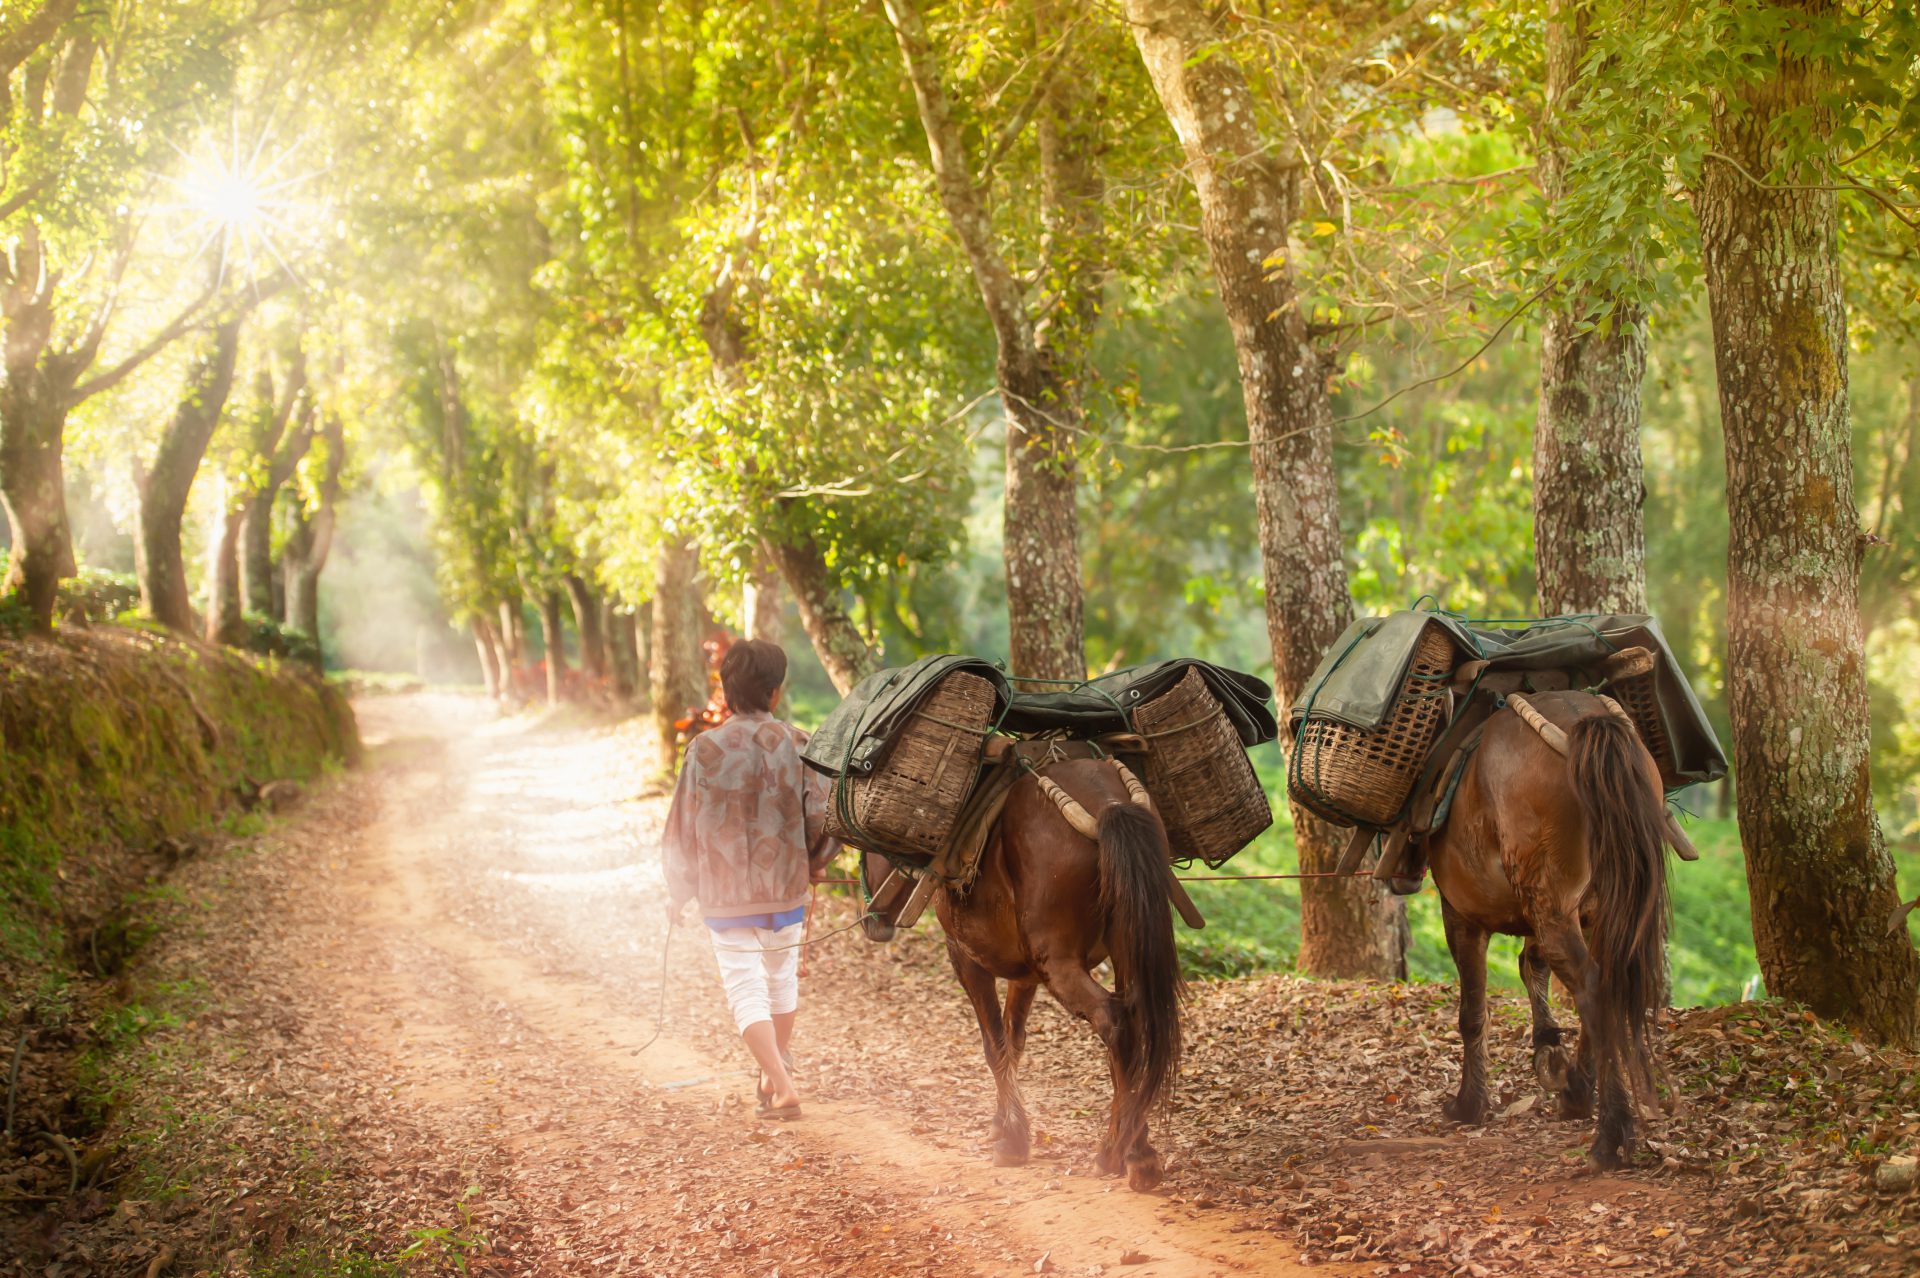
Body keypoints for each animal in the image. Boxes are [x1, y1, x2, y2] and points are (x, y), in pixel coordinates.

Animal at [802, 656, 1282, 1182]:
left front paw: (1011, 1140)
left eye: (862, 851)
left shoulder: (967, 958)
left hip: (1060, 962)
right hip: (1123, 945)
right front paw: (1008, 1126)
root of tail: (1108, 806)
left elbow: (994, 1044)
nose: (873, 922)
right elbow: (1014, 1040)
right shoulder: (1025, 973)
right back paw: (1133, 1147)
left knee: (1115, 1021)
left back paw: (1122, 1153)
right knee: (1137, 1020)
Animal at [1290, 606, 1728, 1166]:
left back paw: (1612, 1133)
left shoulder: (1463, 915)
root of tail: (1586, 722)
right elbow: (1531, 968)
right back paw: (1594, 1101)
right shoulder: (1554, 911)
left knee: (1593, 989)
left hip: (1547, 906)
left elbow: (1473, 1010)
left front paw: (1471, 1103)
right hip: (1595, 905)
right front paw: (1556, 1062)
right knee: (1605, 983)